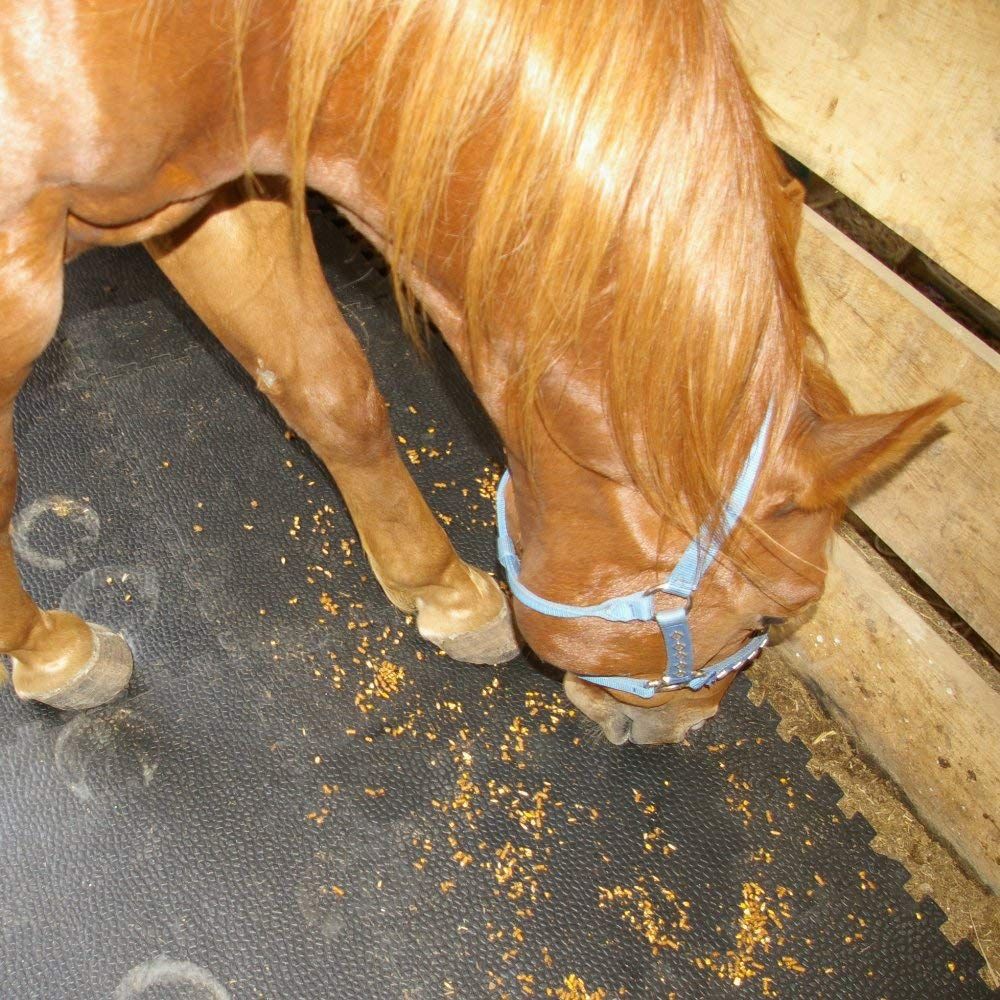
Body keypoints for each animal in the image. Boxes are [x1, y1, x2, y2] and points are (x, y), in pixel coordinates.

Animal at [0, 0, 954, 744]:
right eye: (771, 617)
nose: (680, 730)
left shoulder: (212, 195)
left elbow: (331, 389)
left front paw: (446, 595)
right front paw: (51, 655)